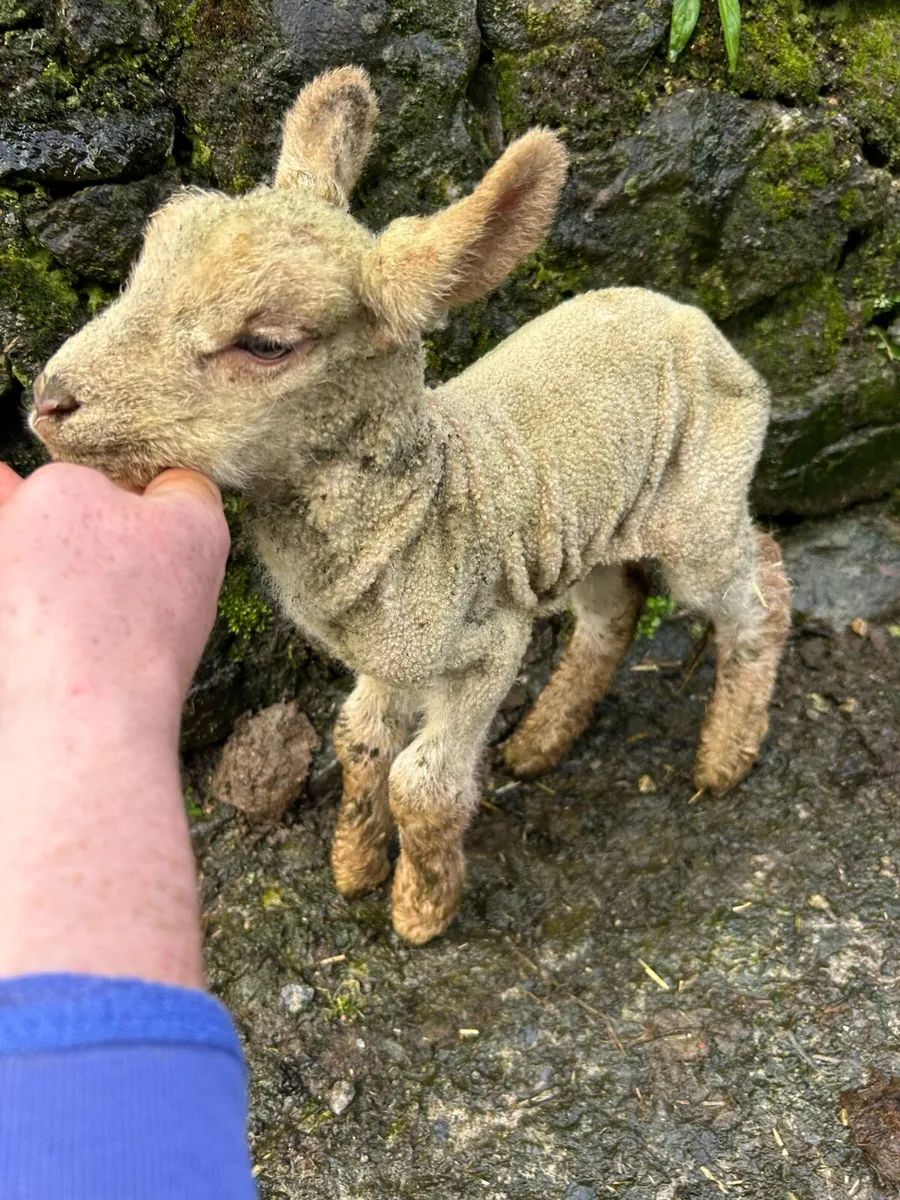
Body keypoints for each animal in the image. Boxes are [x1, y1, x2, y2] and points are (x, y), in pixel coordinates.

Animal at [30, 66, 791, 945]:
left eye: (266, 343)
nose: (49, 401)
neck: (422, 507)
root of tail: (692, 316)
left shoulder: (487, 643)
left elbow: (423, 784)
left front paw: (421, 909)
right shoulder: (388, 652)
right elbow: (360, 745)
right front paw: (355, 864)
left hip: (701, 497)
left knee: (759, 590)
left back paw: (725, 756)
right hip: (594, 523)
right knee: (616, 608)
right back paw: (541, 742)